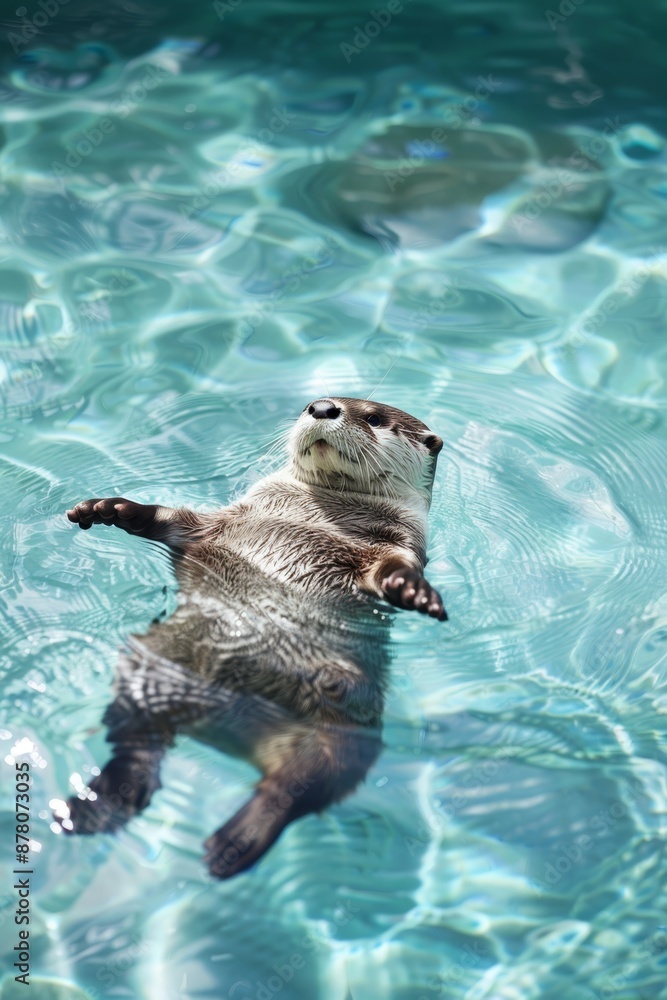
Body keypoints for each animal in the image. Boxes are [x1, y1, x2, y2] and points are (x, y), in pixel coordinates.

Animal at [54, 396, 446, 878]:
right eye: (315, 401)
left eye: (373, 418)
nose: (323, 407)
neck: (317, 513)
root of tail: (213, 725)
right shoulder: (218, 521)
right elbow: (171, 520)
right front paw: (108, 508)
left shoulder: (398, 546)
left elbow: (392, 570)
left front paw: (414, 591)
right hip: (150, 665)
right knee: (137, 738)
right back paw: (101, 807)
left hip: (348, 729)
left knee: (301, 786)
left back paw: (234, 844)